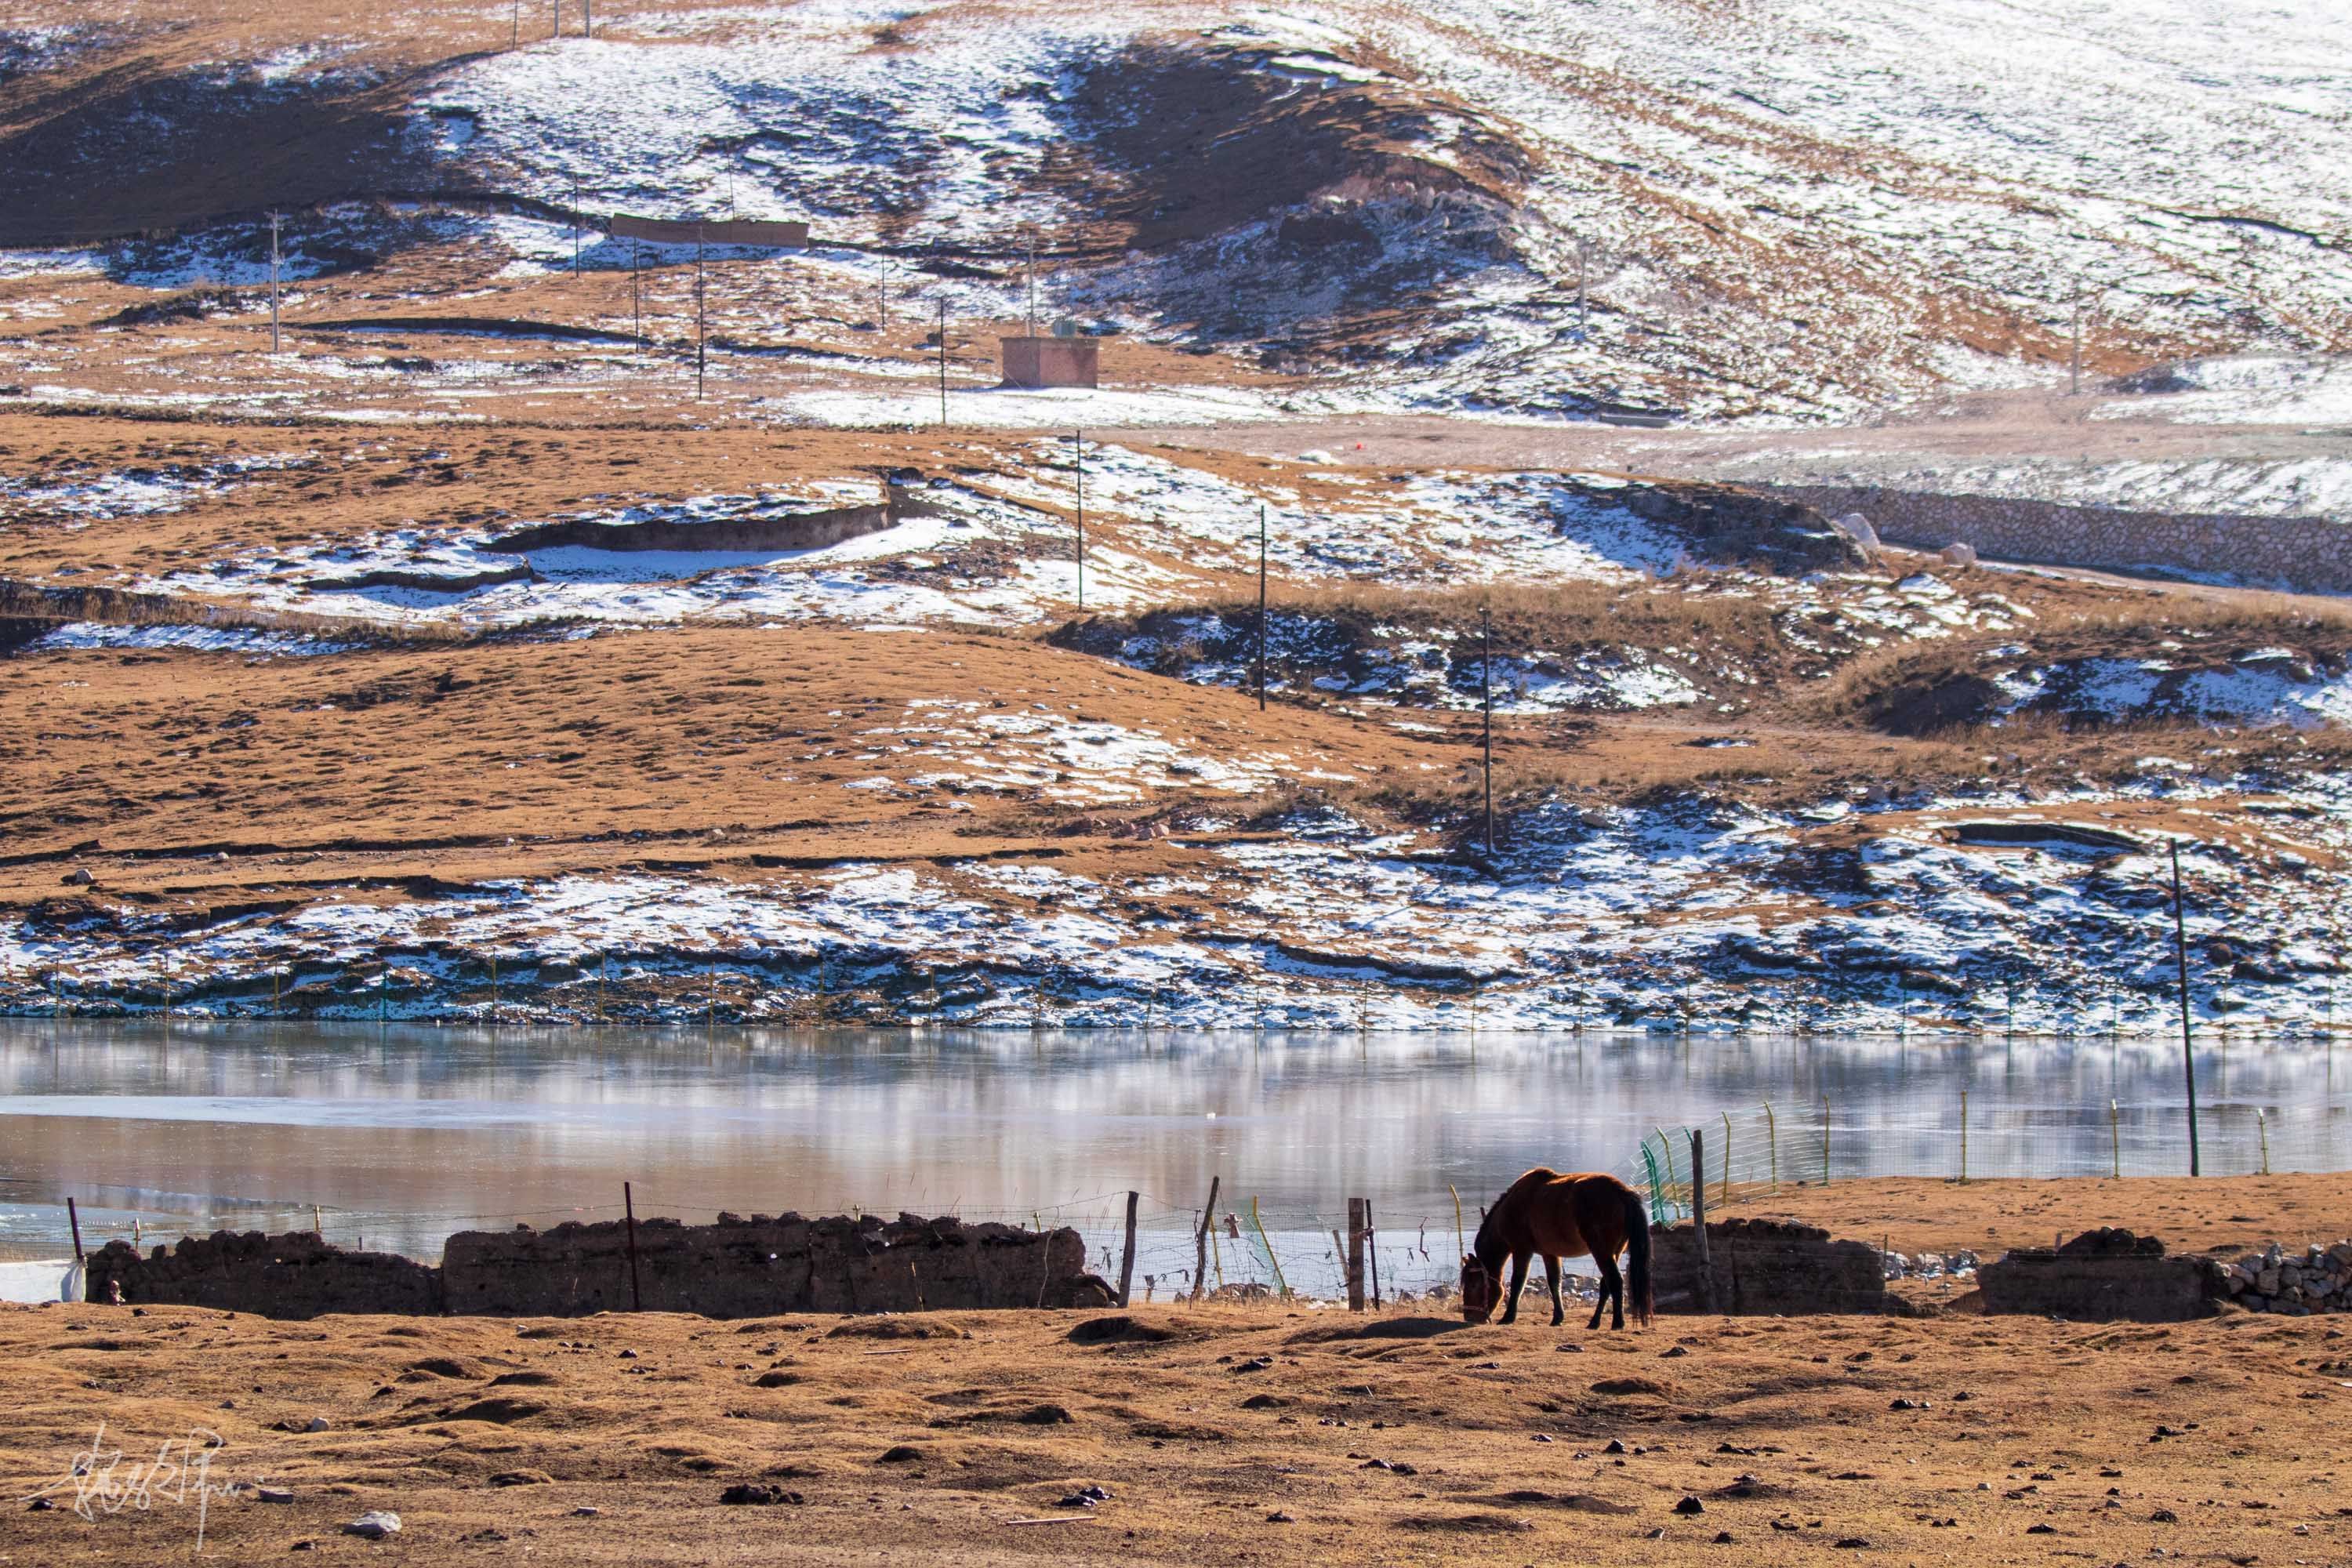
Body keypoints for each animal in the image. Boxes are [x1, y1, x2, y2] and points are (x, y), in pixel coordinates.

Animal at [1449, 1171, 1656, 1335]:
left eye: (1474, 1285)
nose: (1469, 1316)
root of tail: (1622, 1191)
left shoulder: (1522, 1250)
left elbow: (1518, 1283)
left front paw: (1508, 1317)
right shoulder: (1550, 1254)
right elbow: (1554, 1283)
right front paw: (1557, 1318)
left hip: (1602, 1251)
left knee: (1615, 1281)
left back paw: (1617, 1322)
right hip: (1615, 1251)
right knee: (1606, 1284)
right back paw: (1594, 1322)